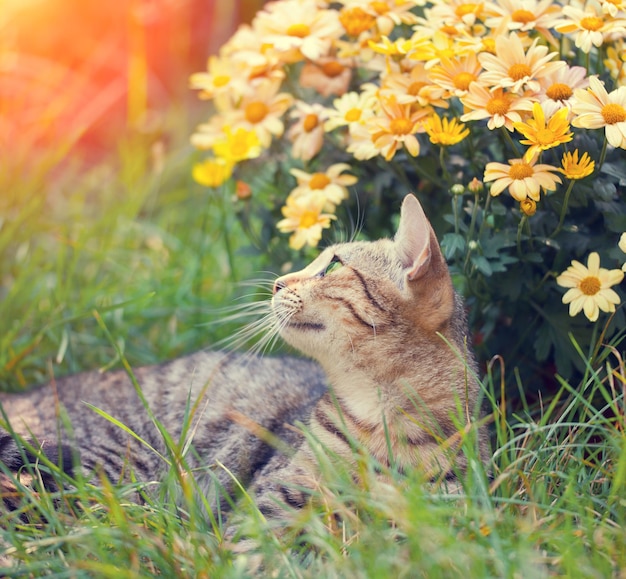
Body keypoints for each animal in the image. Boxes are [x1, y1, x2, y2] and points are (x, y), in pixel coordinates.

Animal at [0, 194, 488, 524]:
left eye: (332, 265)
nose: (277, 283)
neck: (380, 414)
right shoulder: (276, 494)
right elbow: (260, 548)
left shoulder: (450, 509)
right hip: (111, 465)